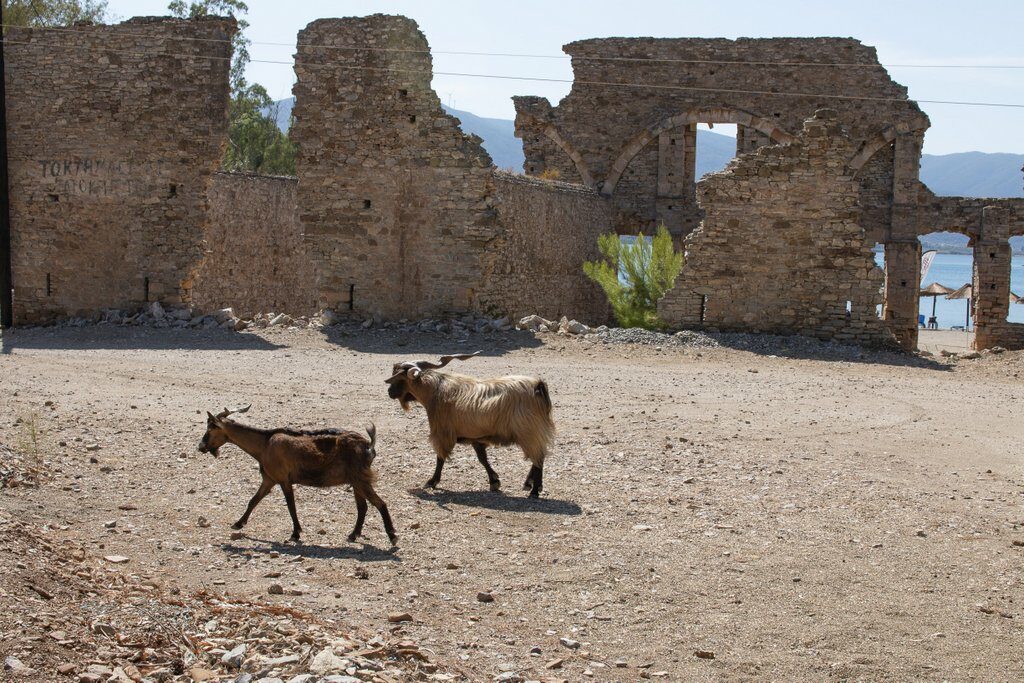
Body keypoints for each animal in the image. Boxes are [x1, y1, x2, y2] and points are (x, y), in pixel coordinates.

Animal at [195, 405, 395, 544]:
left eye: (210, 429)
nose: (201, 447)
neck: (264, 444)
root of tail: (368, 445)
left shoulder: (284, 479)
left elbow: (291, 506)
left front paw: (296, 533)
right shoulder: (269, 479)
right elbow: (253, 500)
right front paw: (238, 523)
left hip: (360, 479)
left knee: (380, 503)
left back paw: (392, 536)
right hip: (355, 481)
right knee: (363, 507)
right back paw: (353, 535)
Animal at [385, 352, 561, 497]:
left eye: (398, 377)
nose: (390, 392)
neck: (435, 391)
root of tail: (538, 386)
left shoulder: (443, 433)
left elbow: (440, 458)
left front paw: (432, 481)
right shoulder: (476, 436)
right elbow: (482, 458)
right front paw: (494, 481)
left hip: (529, 431)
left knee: (538, 458)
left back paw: (534, 490)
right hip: (532, 432)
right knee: (539, 456)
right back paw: (531, 485)